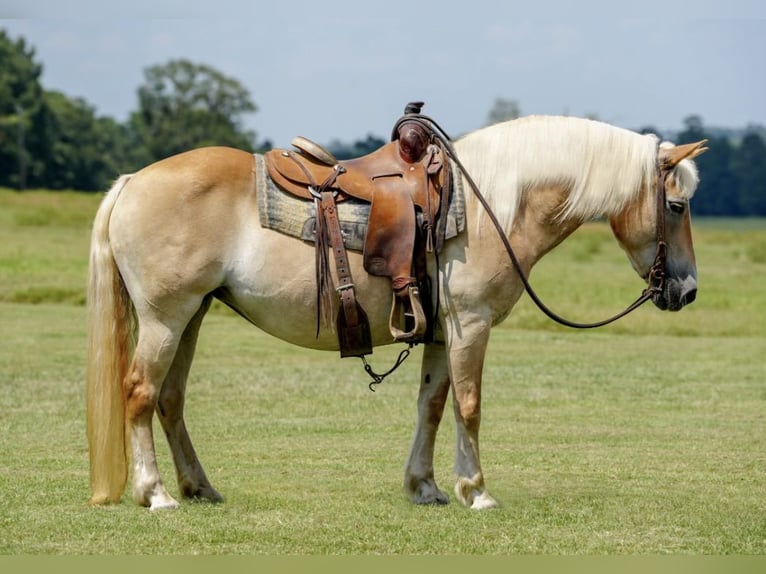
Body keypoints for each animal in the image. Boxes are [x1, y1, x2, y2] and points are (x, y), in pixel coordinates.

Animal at [87, 115, 712, 510]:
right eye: (677, 205)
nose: (686, 291)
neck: (489, 204)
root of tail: (132, 182)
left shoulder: (440, 333)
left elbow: (431, 406)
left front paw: (425, 487)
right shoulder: (471, 324)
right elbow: (468, 406)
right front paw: (476, 490)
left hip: (191, 316)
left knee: (169, 400)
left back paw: (199, 488)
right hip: (166, 319)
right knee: (140, 392)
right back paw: (155, 493)